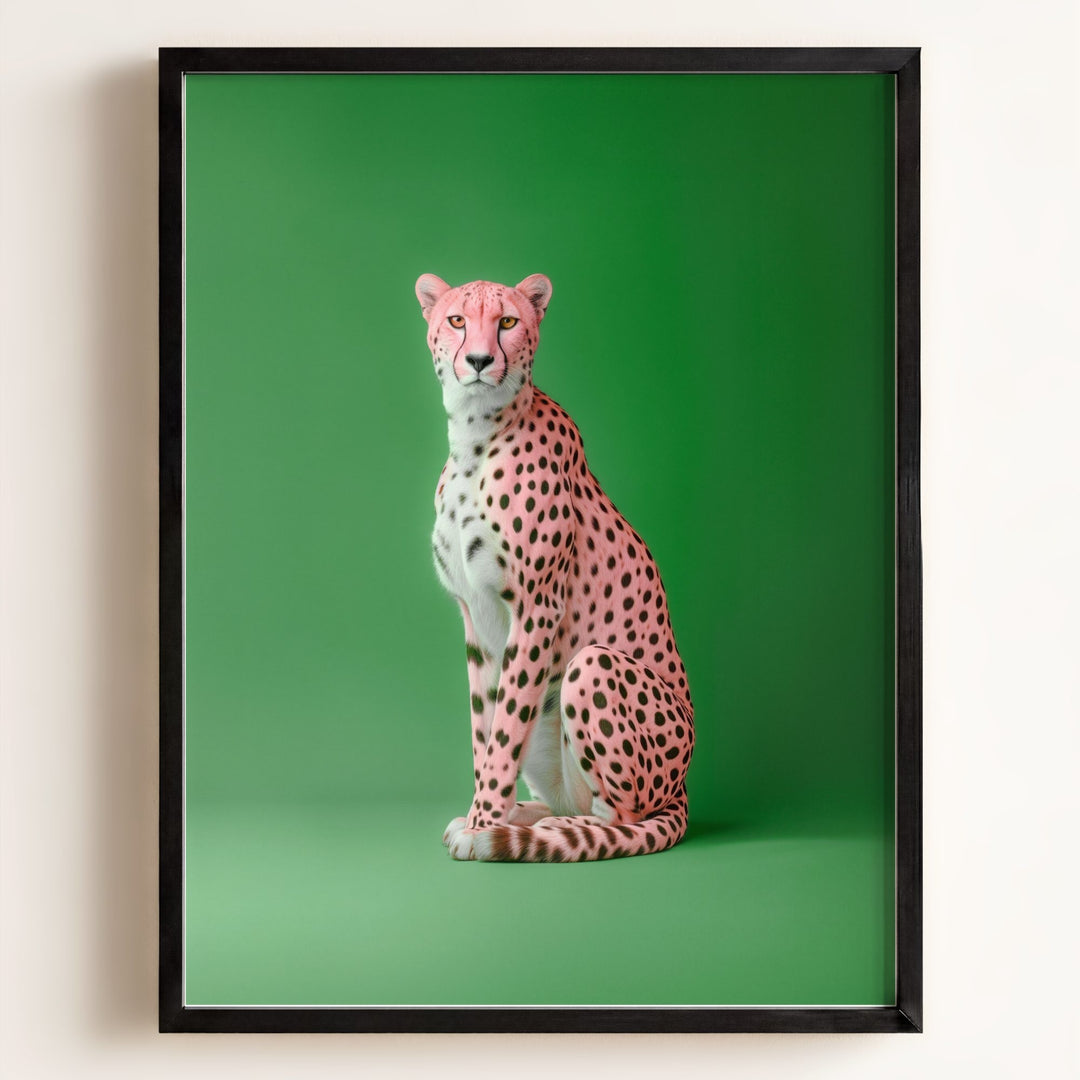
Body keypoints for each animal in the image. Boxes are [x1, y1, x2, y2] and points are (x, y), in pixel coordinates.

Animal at [417, 272, 694, 862]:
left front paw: (483, 825)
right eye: (456, 320)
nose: (478, 360)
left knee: (621, 819)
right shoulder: (475, 619)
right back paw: (526, 817)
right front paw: (481, 815)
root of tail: (682, 788)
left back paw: (539, 832)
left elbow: (503, 734)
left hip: (591, 666)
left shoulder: (537, 608)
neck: (475, 435)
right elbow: (485, 728)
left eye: (507, 322)